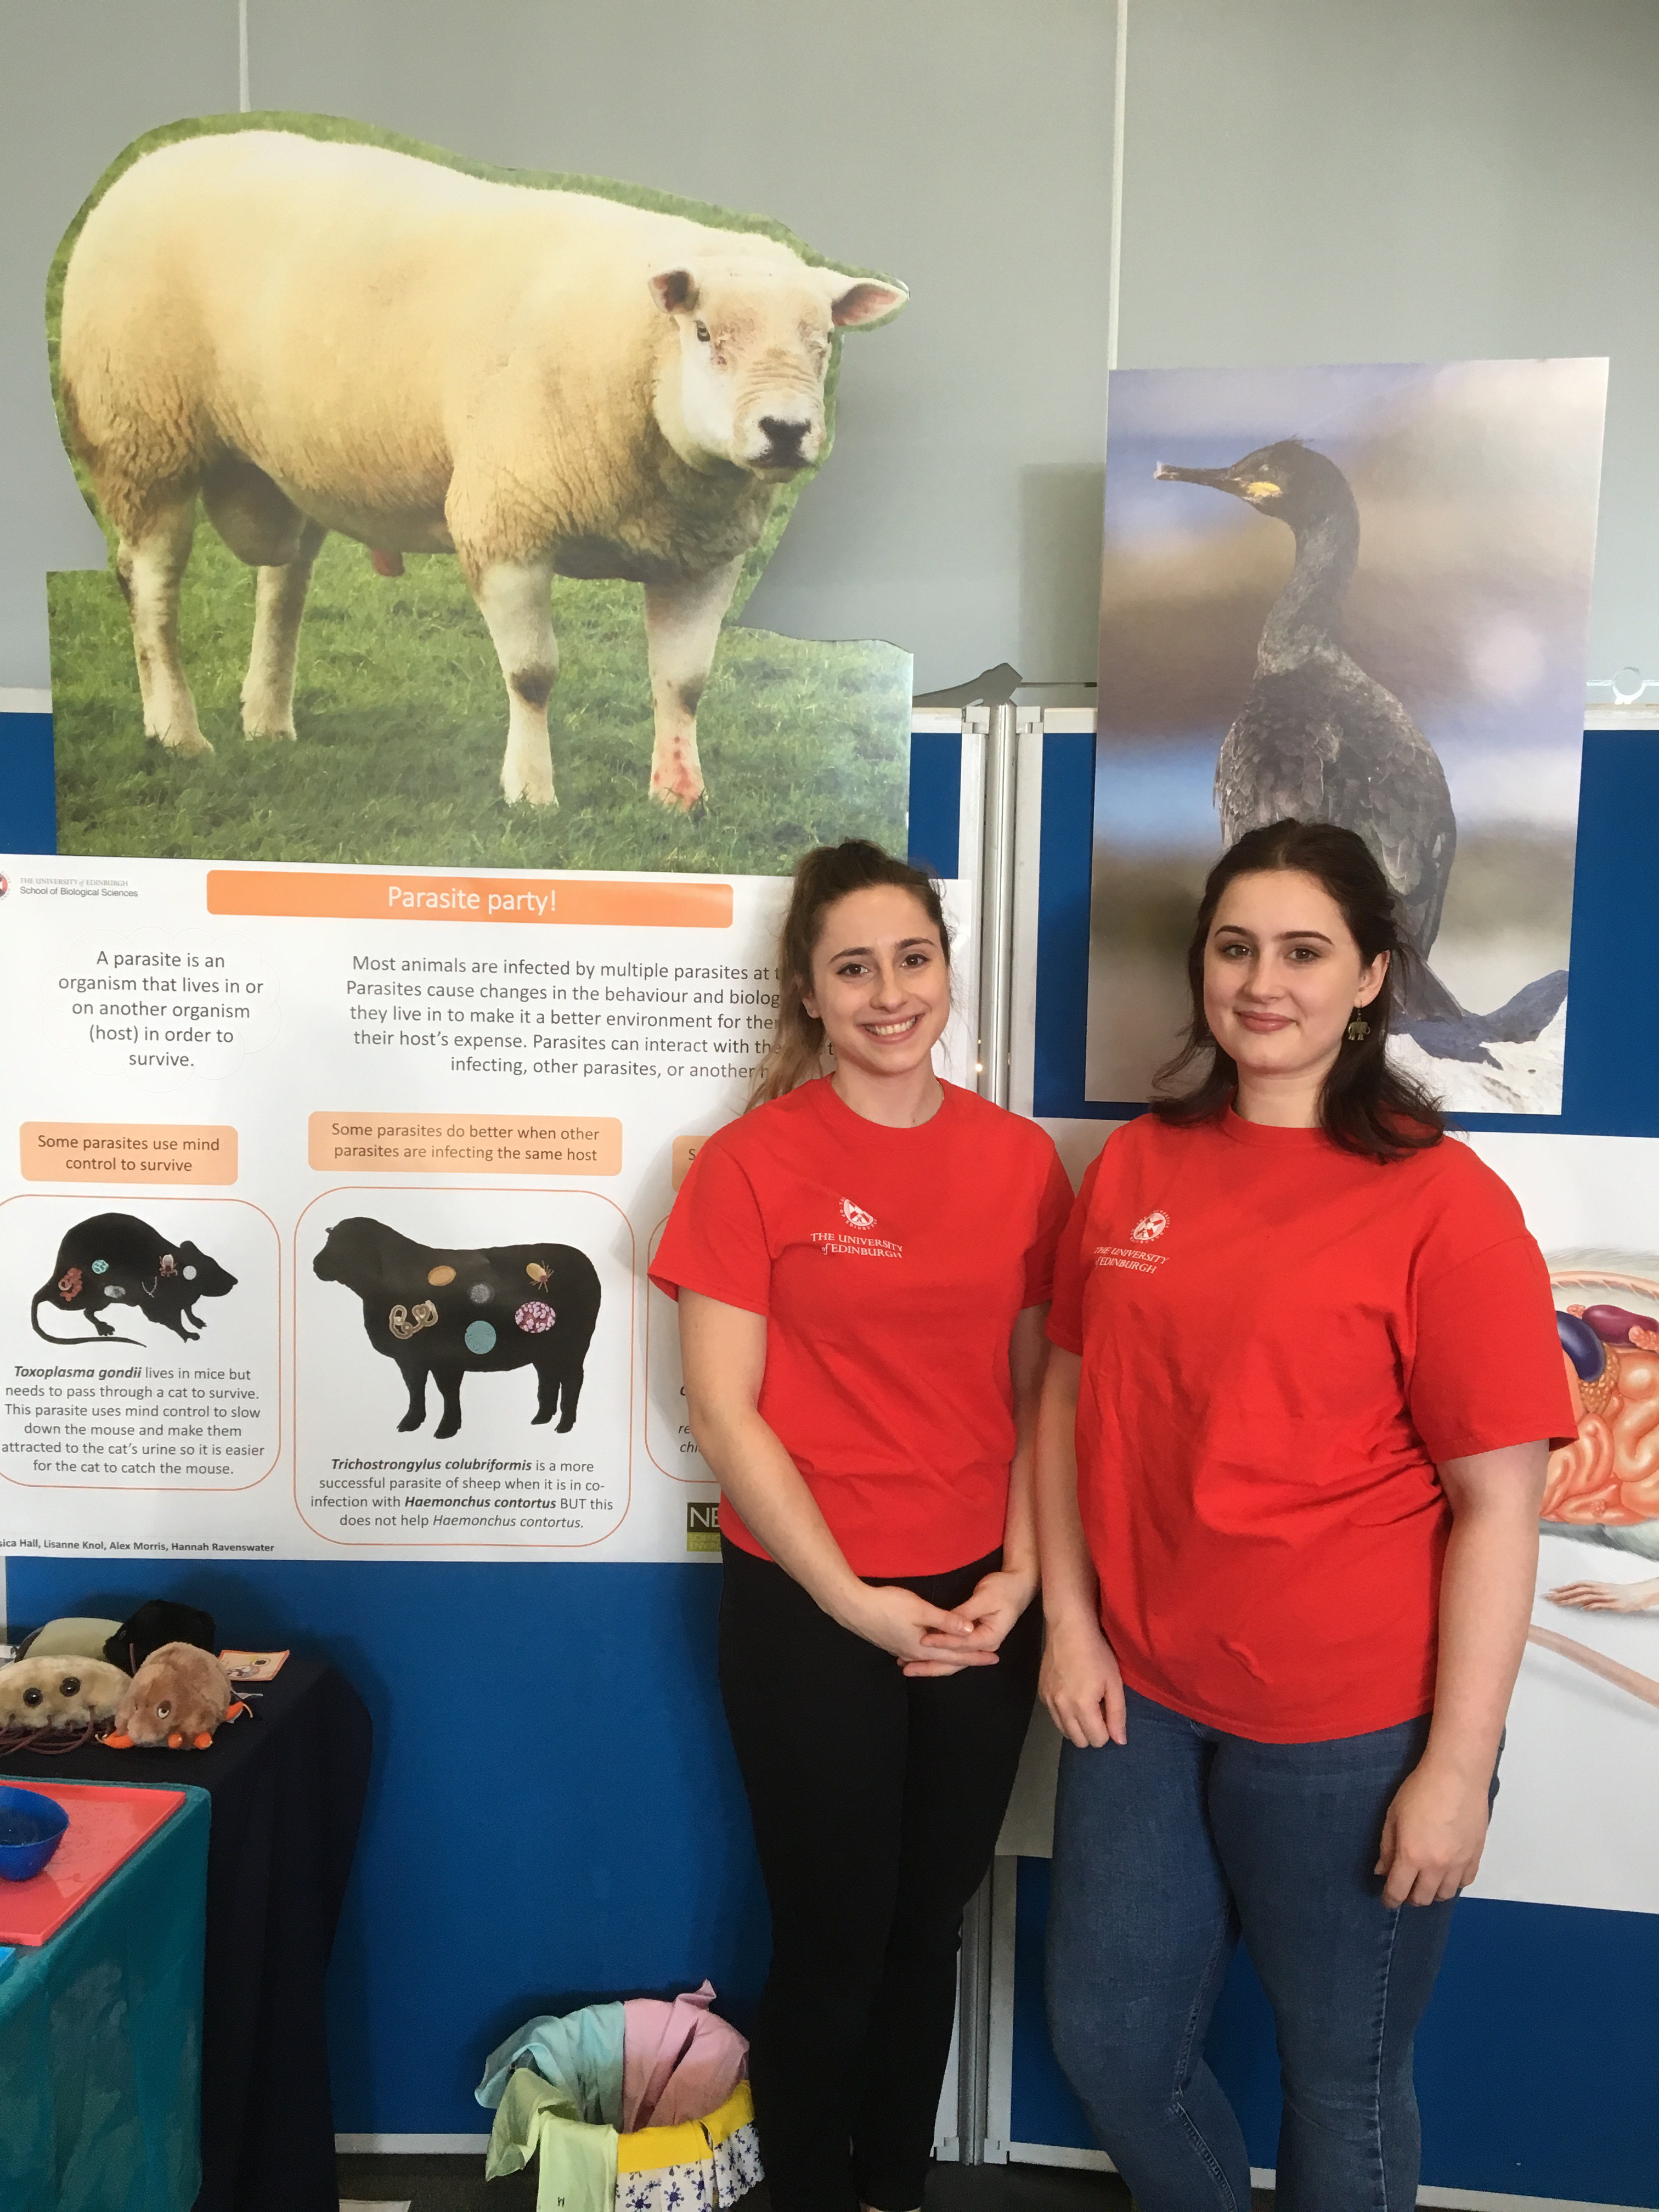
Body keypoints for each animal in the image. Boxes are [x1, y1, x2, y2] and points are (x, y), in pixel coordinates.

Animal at [58, 125, 911, 814]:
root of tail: (155, 158)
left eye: (824, 342)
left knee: (284, 584)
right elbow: (533, 674)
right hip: (142, 438)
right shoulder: (506, 523)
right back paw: (177, 730)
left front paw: (680, 797)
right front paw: (530, 793)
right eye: (704, 334)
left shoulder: (702, 558)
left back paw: (267, 718)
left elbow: (685, 685)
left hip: (290, 457)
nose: (786, 432)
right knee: (152, 589)